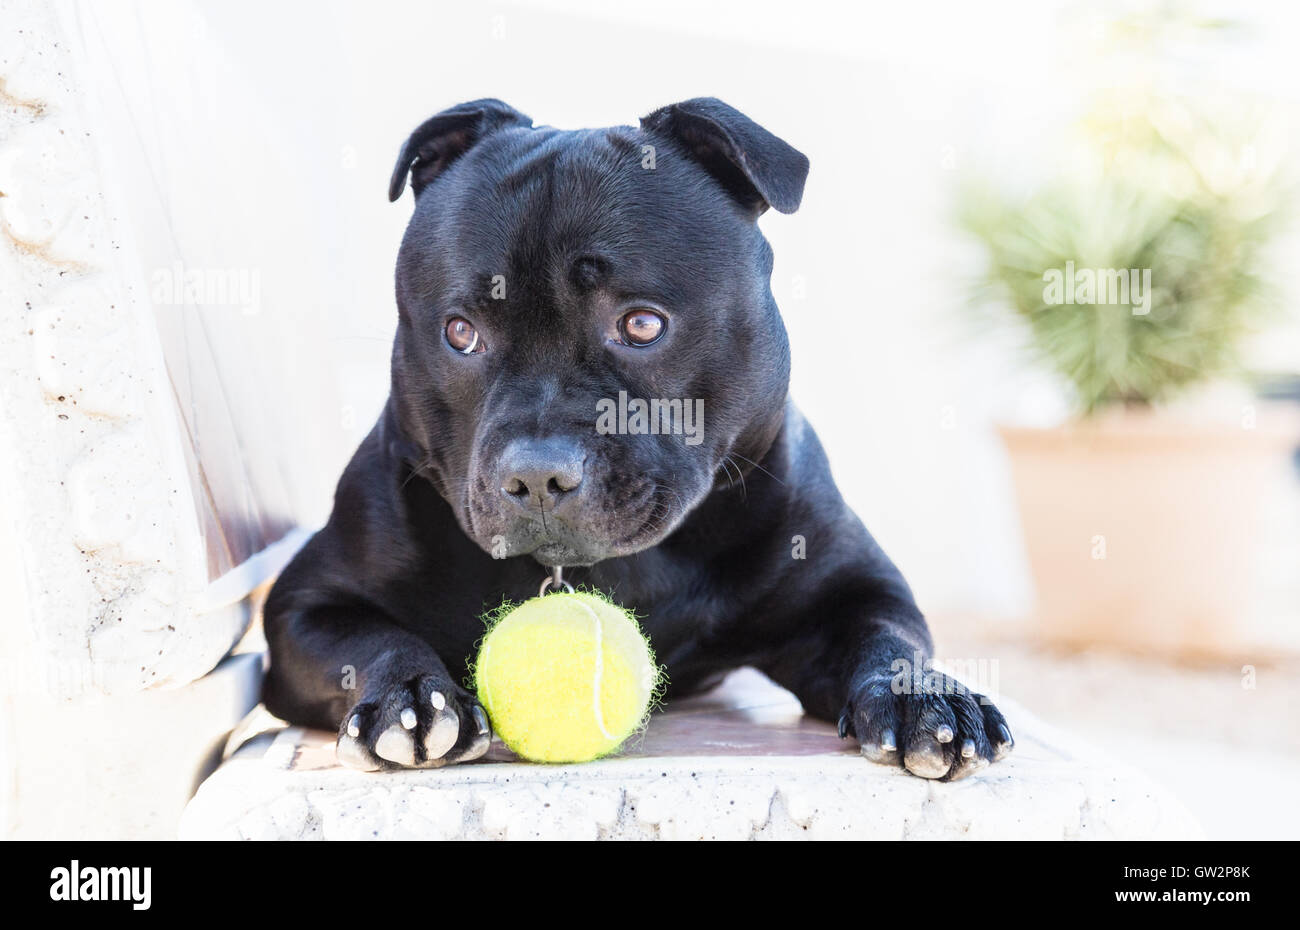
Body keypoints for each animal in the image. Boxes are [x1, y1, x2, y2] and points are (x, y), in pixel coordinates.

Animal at [263, 96, 1013, 780]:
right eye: (461, 333)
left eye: (642, 325)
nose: (536, 475)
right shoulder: (304, 604)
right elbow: (370, 638)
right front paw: (412, 696)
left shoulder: (852, 590)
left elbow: (889, 639)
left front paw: (926, 700)